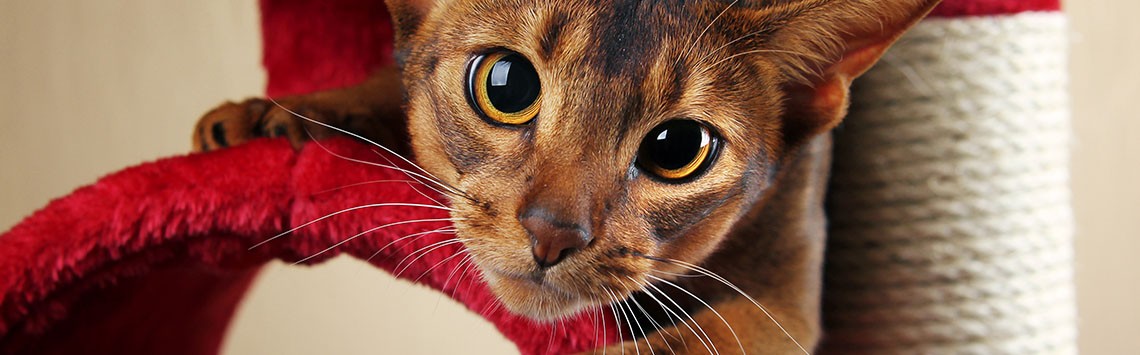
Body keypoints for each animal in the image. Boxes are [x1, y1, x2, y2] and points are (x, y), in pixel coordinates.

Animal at [196, 0, 939, 353]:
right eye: (505, 84)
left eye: (678, 148)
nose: (552, 234)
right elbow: (392, 78)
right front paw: (278, 113)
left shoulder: (782, 299)